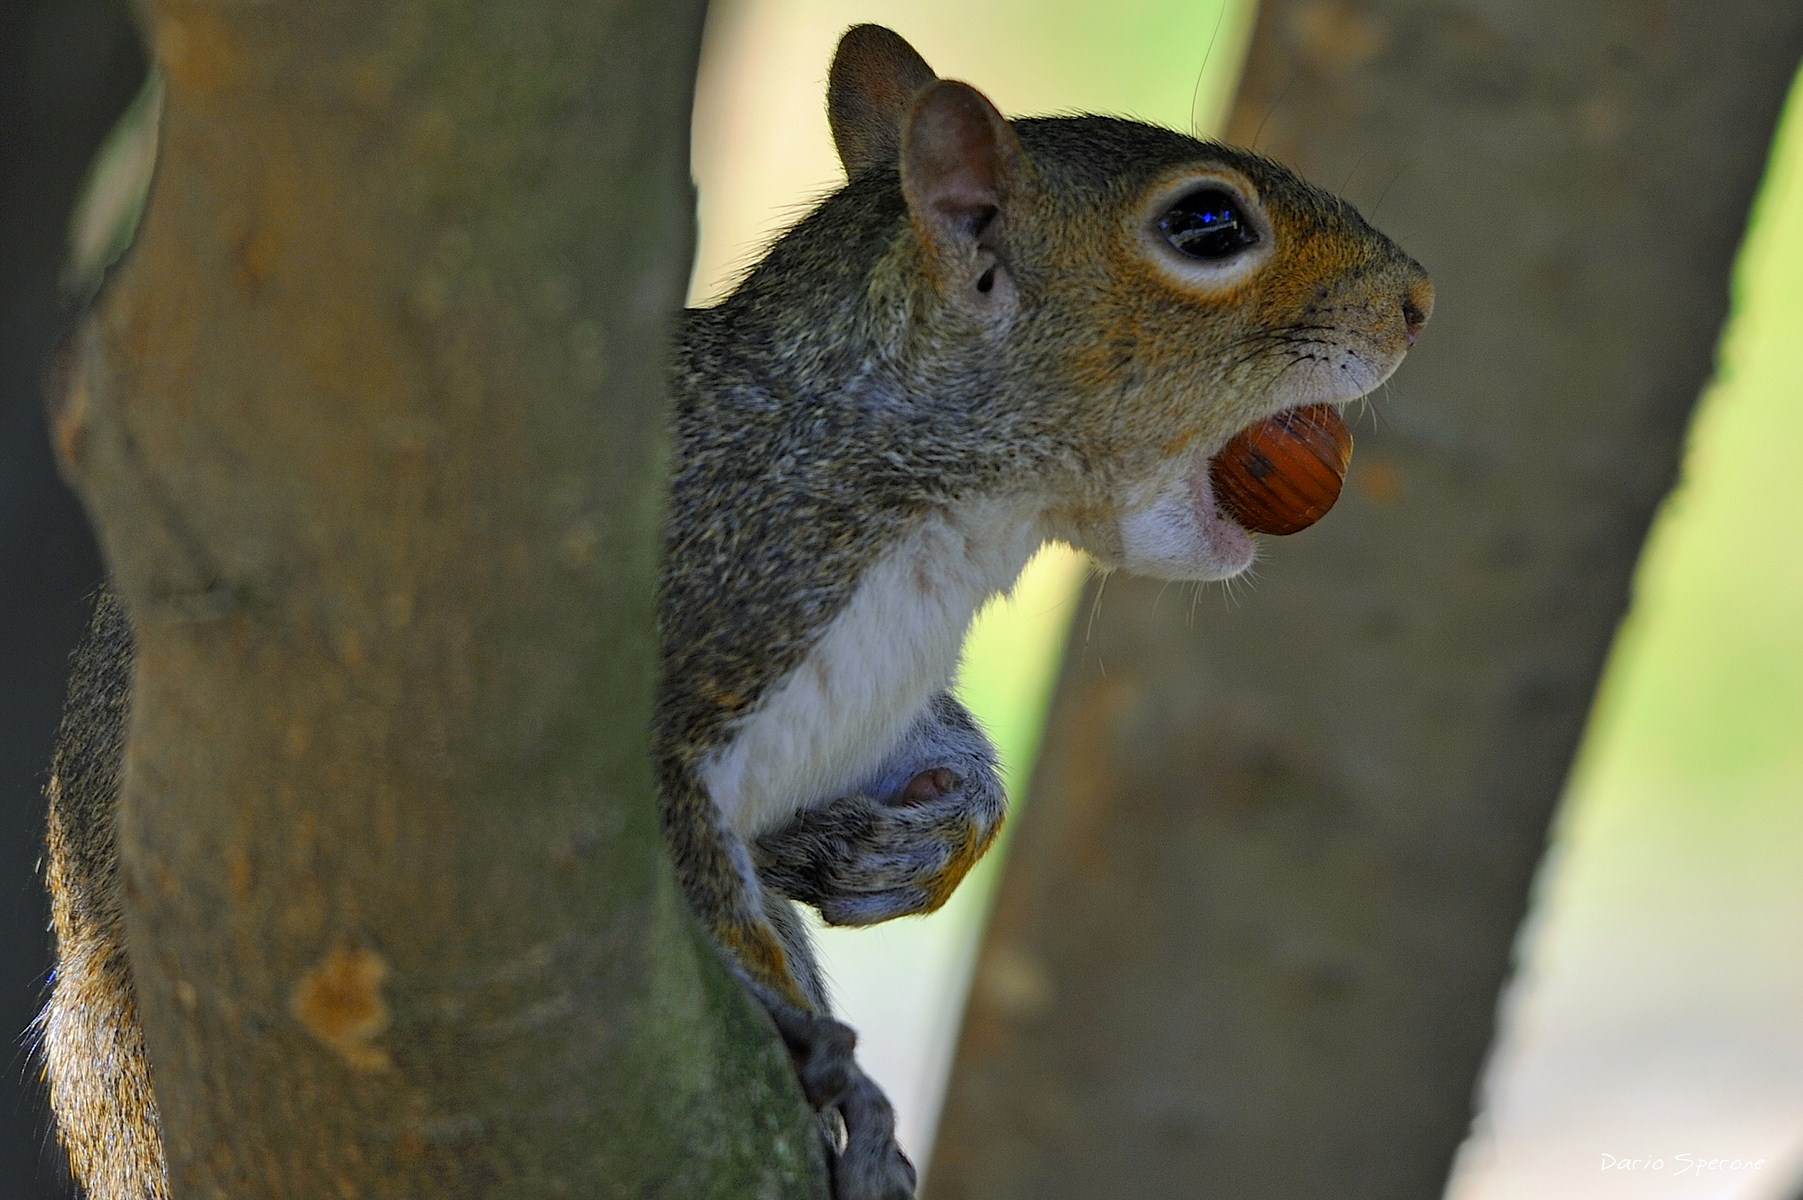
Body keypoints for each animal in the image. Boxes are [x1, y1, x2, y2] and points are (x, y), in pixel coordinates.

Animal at [39, 23, 1431, 1200]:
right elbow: (704, 884)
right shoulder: (703, 616)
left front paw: (939, 836)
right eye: (1207, 223)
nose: (1419, 297)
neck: (944, 513)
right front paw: (814, 1035)